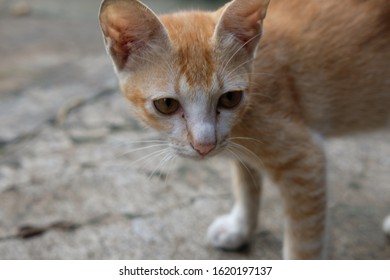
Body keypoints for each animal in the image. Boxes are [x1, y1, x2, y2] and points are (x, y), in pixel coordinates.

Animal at [98, 0, 390, 260]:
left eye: (230, 98)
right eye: (167, 104)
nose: (204, 145)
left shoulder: (306, 158)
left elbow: (304, 242)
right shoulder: (237, 146)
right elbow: (246, 185)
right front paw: (240, 228)